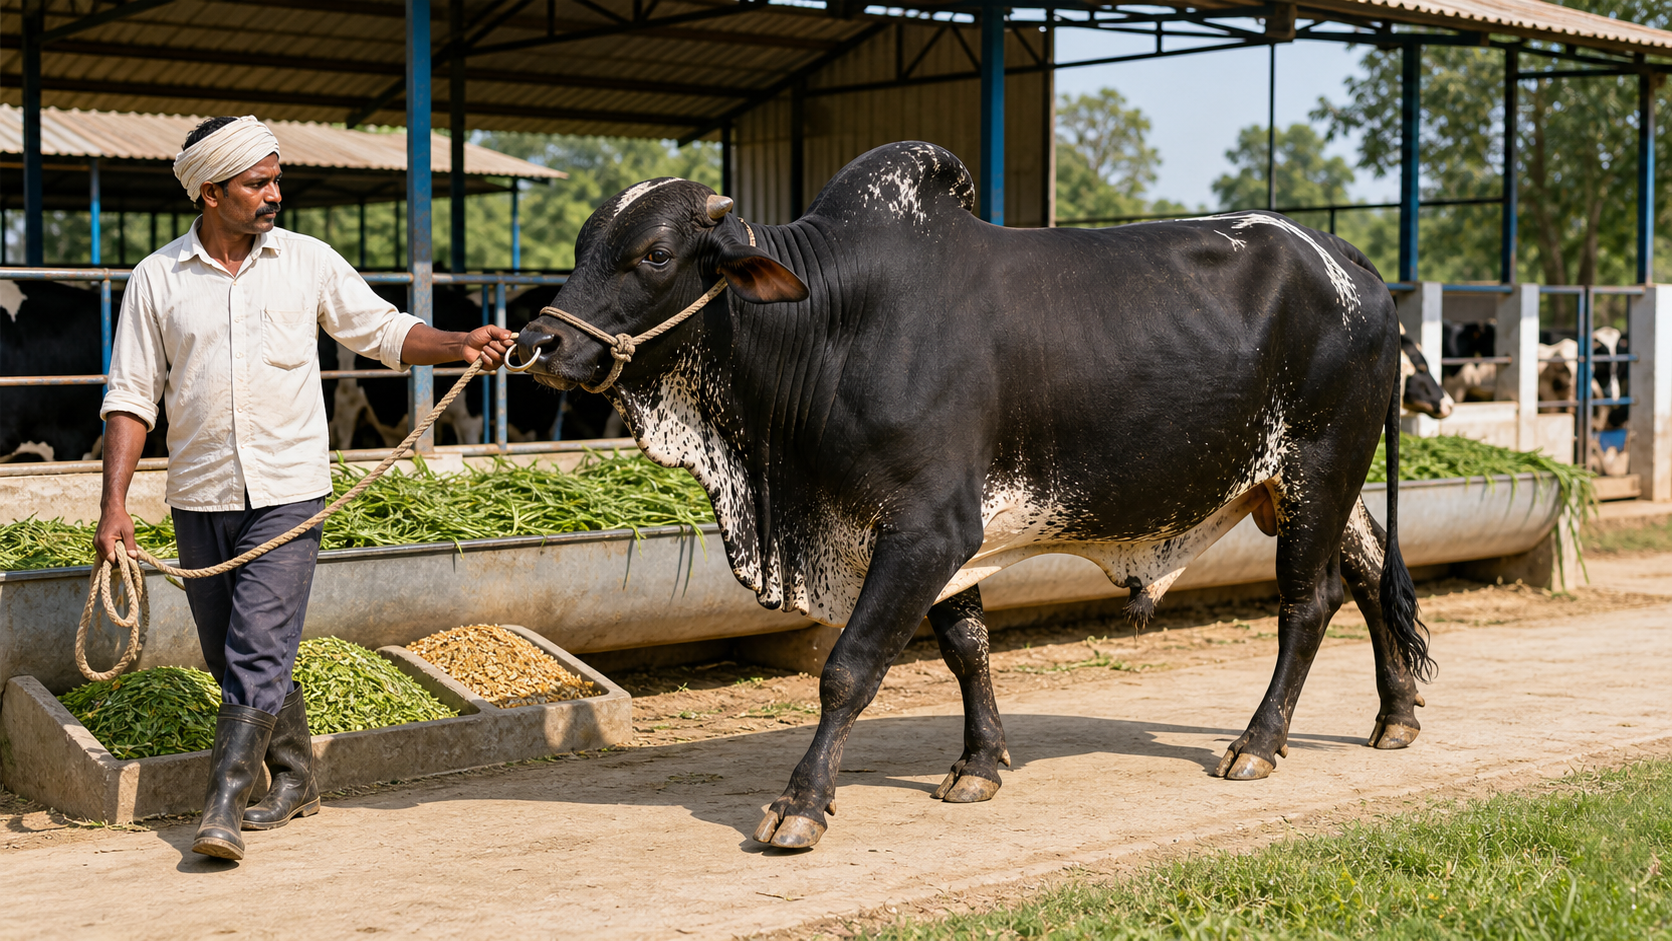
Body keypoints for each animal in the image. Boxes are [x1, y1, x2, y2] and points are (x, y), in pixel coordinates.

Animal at [513, 142, 1432, 850]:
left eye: (654, 254)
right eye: (585, 244)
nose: (535, 344)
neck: (830, 326)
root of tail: (1345, 258)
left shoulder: (926, 530)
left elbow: (850, 667)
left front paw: (801, 804)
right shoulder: (953, 536)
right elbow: (967, 648)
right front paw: (980, 764)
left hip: (1317, 469)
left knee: (1307, 602)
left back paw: (1259, 742)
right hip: (1321, 484)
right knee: (1367, 573)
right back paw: (1396, 715)